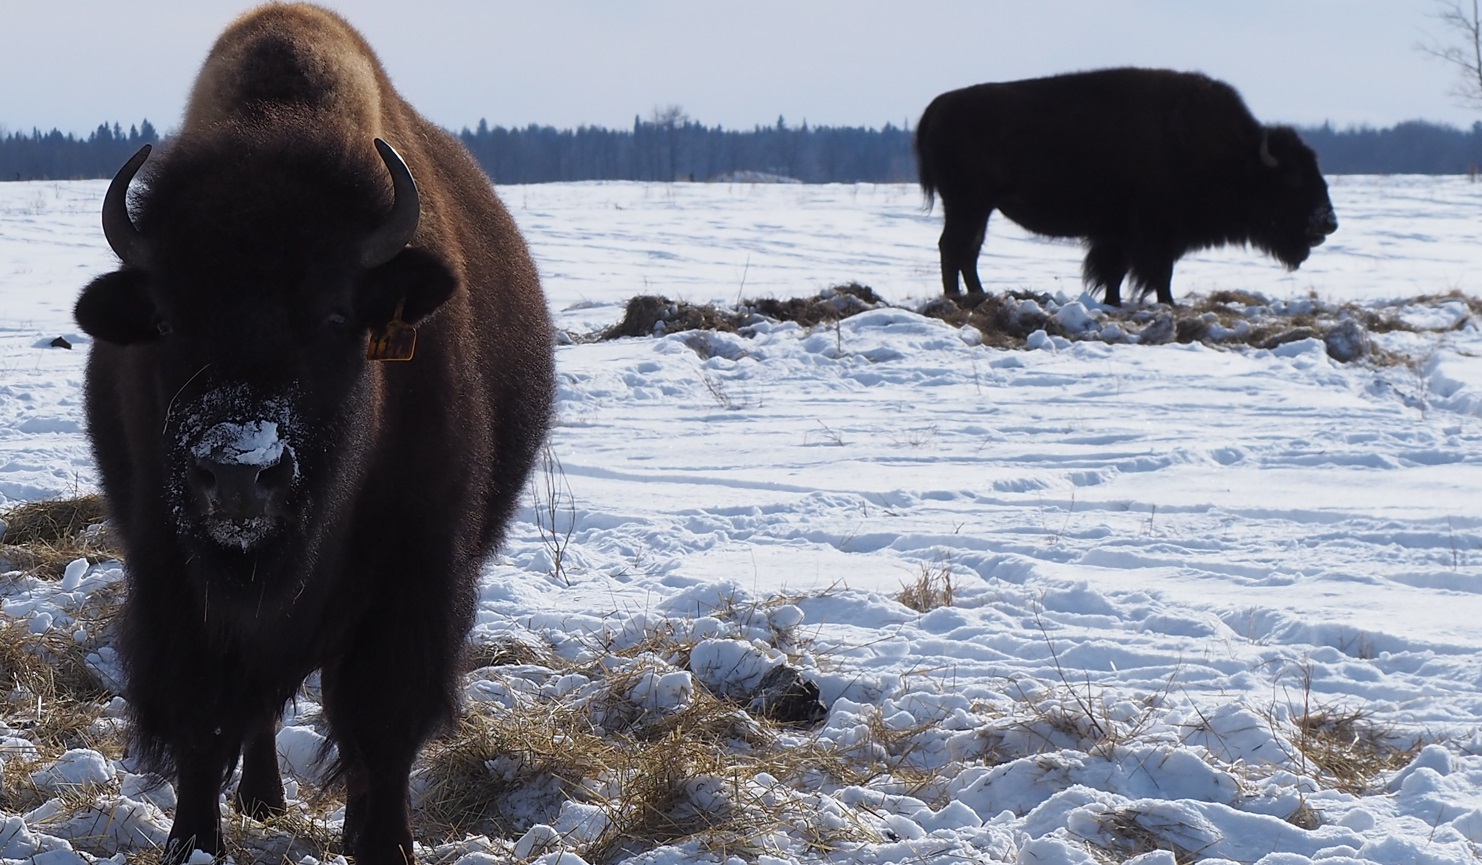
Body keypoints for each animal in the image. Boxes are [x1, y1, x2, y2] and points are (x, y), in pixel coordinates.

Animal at [73, 5, 554, 863]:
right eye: (167, 320)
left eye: (334, 314)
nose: (237, 473)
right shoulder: (173, 578)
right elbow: (203, 720)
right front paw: (193, 841)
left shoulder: (415, 573)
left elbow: (383, 723)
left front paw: (384, 843)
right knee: (259, 710)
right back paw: (263, 798)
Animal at [915, 67, 1339, 305]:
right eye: (1294, 178)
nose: (1329, 222)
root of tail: (938, 106)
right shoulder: (1155, 234)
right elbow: (1158, 273)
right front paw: (1168, 304)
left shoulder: (1119, 234)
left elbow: (1115, 272)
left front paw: (1114, 302)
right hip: (968, 204)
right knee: (953, 247)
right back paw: (958, 298)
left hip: (979, 208)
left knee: (966, 250)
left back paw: (977, 294)